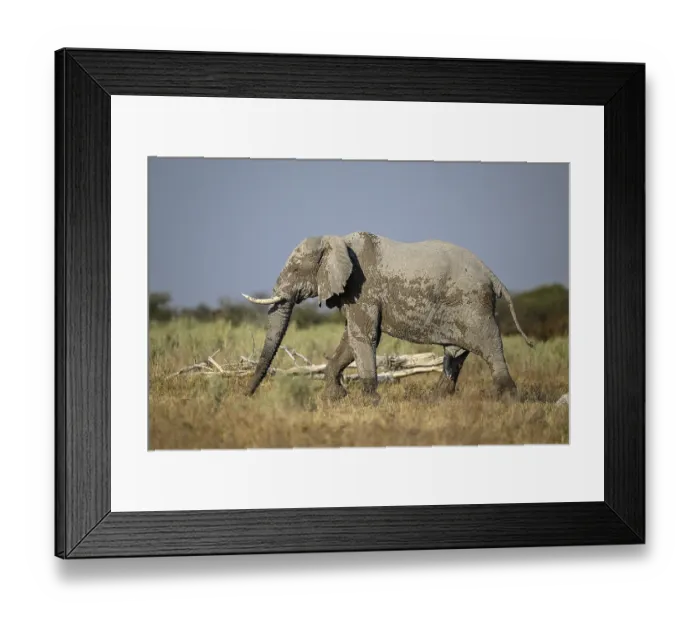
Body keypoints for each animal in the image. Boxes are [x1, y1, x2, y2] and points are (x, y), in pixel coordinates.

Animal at [242, 232, 534, 402]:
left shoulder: (363, 288)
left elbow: (364, 336)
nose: (246, 395)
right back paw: (437, 399)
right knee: (456, 351)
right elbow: (350, 338)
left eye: (294, 269)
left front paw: (369, 402)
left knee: (489, 344)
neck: (337, 240)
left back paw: (508, 400)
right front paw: (337, 397)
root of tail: (492, 275)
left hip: (472, 303)